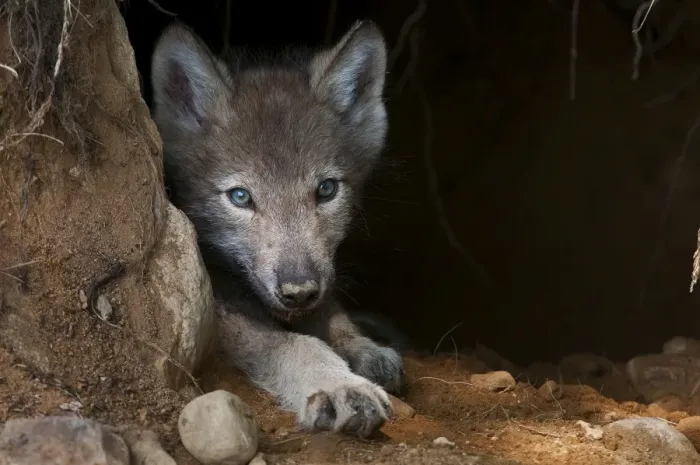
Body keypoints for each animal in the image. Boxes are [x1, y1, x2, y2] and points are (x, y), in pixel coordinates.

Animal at [149, 19, 405, 437]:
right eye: (240, 197)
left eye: (326, 189)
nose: (298, 292)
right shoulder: (222, 307)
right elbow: (295, 344)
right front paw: (340, 385)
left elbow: (333, 313)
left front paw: (363, 347)